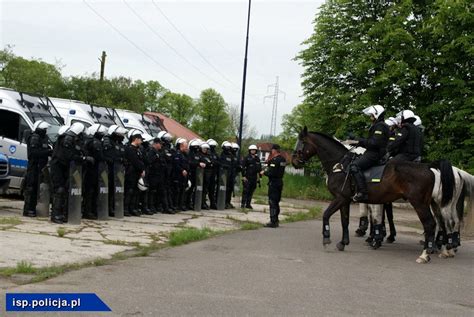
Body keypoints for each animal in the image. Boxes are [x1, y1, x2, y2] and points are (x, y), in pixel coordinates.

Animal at [290, 127, 454, 262]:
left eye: (302, 142)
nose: (294, 161)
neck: (340, 165)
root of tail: (428, 167)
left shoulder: (339, 198)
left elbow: (326, 215)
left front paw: (326, 238)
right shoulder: (345, 200)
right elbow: (345, 221)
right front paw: (343, 243)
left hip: (419, 203)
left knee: (430, 224)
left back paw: (425, 254)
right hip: (431, 203)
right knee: (441, 223)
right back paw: (442, 250)